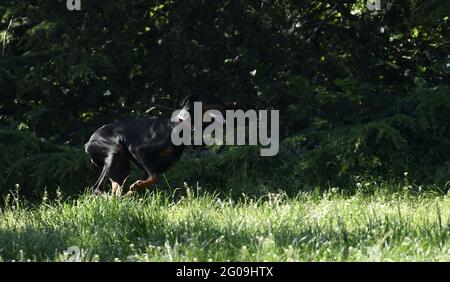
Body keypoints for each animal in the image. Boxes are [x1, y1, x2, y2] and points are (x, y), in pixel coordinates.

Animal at [84, 94, 229, 196]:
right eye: (211, 97)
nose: (231, 103)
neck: (179, 125)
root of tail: (88, 143)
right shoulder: (139, 150)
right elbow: (155, 178)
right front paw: (135, 186)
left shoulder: (149, 168)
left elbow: (146, 181)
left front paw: (134, 188)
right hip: (114, 153)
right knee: (96, 188)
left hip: (122, 170)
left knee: (116, 189)